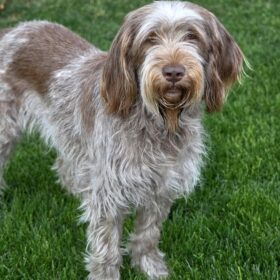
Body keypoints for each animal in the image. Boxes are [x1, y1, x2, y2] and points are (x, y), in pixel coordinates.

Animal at [0, 1, 243, 278]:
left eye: (192, 36)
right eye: (150, 38)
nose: (173, 72)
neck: (156, 124)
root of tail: (12, 31)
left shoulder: (161, 187)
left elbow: (147, 235)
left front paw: (149, 266)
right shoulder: (109, 194)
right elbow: (107, 249)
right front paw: (106, 274)